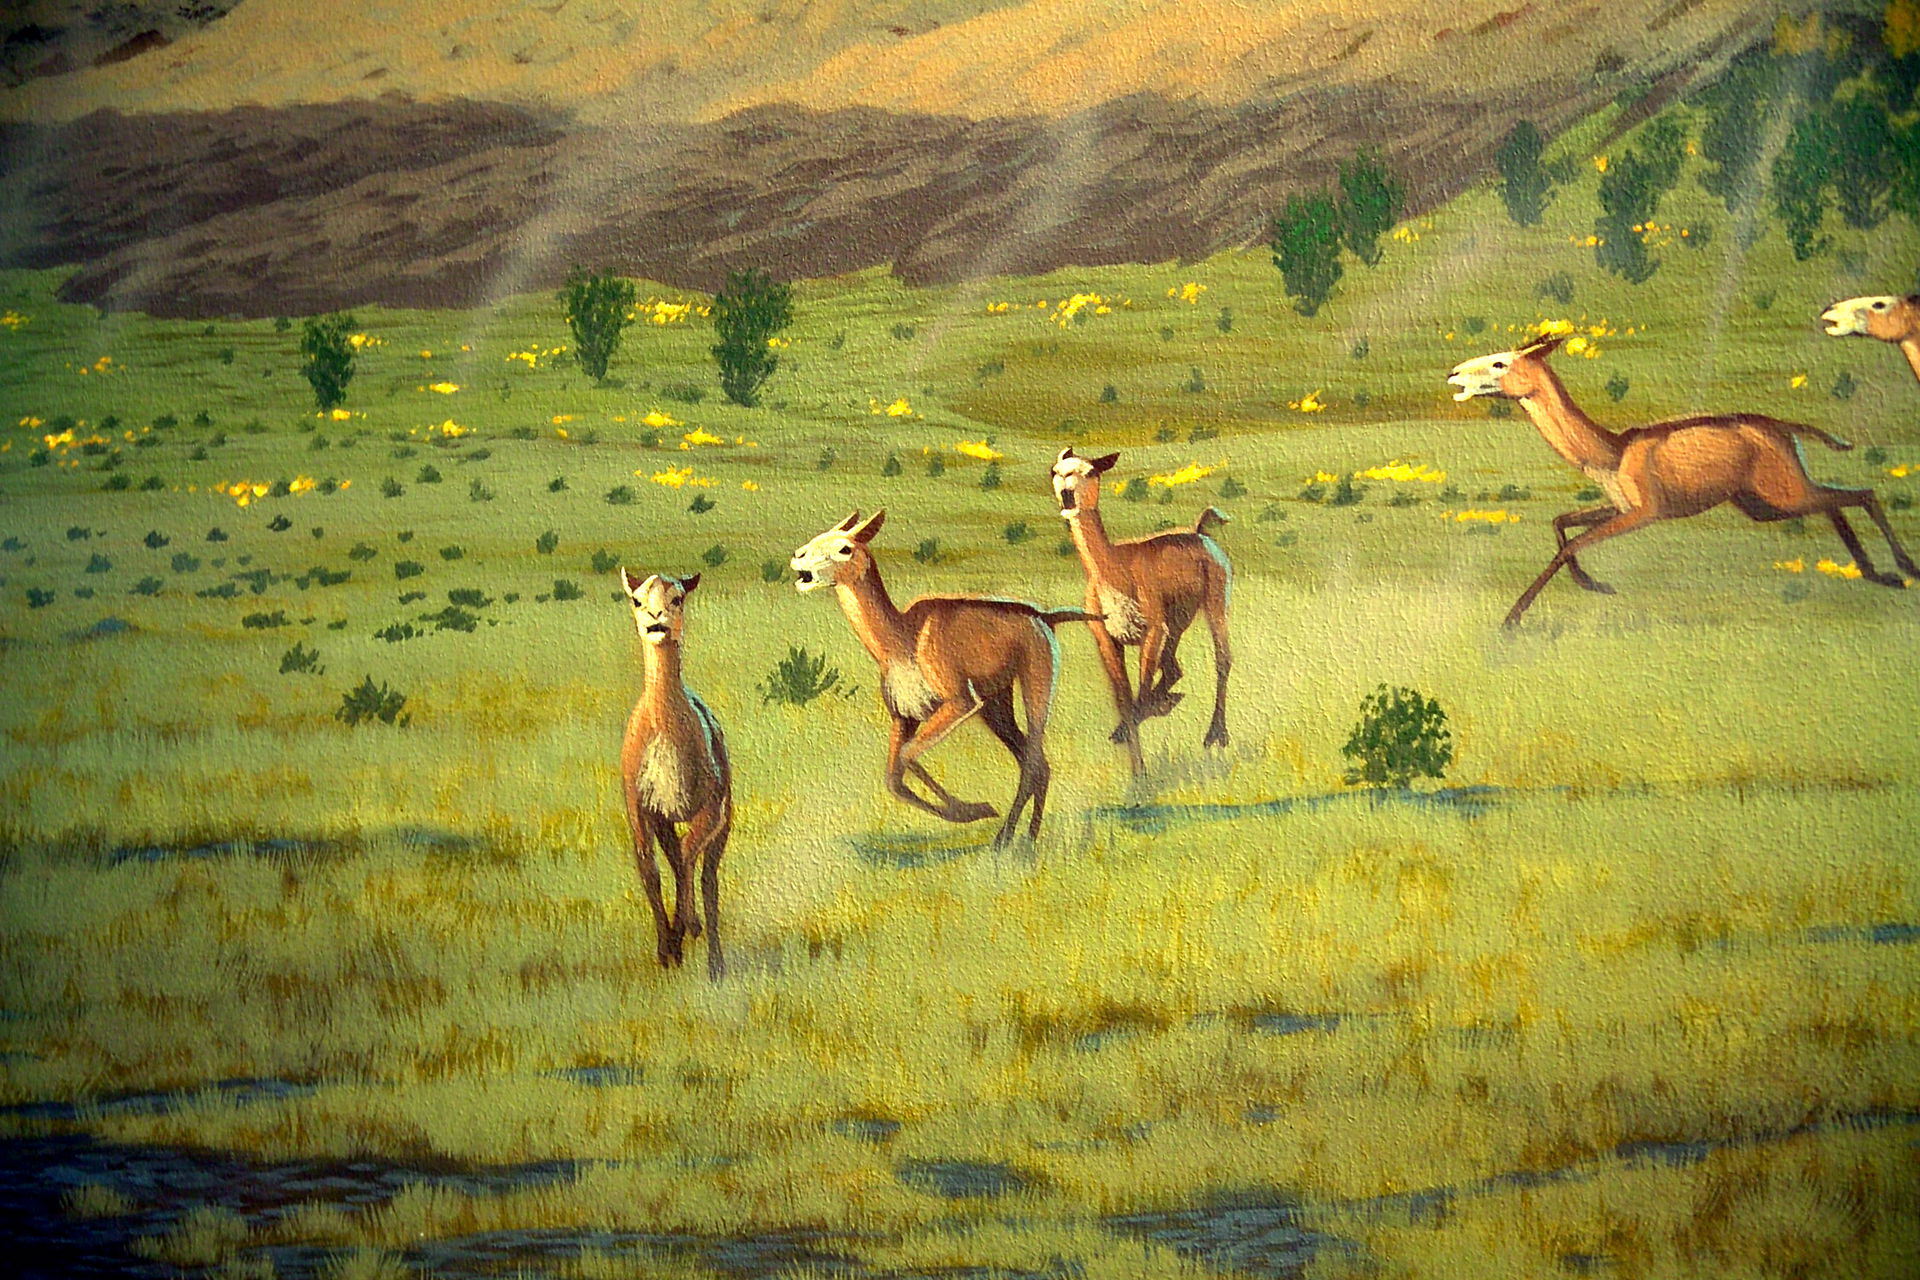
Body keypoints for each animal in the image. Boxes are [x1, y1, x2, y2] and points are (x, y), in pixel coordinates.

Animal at [619, 570, 730, 979]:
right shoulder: (641, 811)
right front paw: (667, 948)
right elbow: (650, 870)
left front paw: (688, 927)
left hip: (724, 824)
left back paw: (715, 964)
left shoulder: (711, 812)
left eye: (677, 597)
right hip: (667, 820)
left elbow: (686, 861)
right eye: (637, 599)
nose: (656, 621)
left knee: (708, 879)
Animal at [790, 510, 1094, 845]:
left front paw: (976, 809)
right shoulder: (903, 717)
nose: (798, 556)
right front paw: (971, 811)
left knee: (1033, 761)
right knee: (1038, 763)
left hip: (1033, 686)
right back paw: (1025, 835)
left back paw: (1009, 839)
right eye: (817, 537)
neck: (902, 641)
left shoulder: (959, 703)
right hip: (996, 707)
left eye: (845, 548)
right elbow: (893, 779)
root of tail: (1045, 617)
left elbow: (906, 755)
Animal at [1050, 447, 1232, 775]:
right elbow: (1125, 701)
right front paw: (1137, 770)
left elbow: (1140, 697)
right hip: (1177, 622)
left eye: (1091, 471)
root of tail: (1199, 532)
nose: (1067, 496)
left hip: (1213, 605)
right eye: (1056, 471)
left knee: (1222, 660)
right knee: (1173, 667)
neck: (1117, 571)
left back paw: (1216, 734)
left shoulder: (1150, 632)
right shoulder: (1107, 639)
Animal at [1448, 334, 1918, 627]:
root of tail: (1786, 428)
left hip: (1781, 494)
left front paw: (1513, 617)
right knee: (1839, 500)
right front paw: (1593, 583)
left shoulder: (1646, 512)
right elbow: (1561, 522)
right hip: (1763, 504)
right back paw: (1878, 574)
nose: (1454, 373)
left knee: (1862, 493)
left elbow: (1572, 543)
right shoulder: (1618, 506)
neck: (1609, 454)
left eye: (1499, 362)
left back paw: (1902, 569)